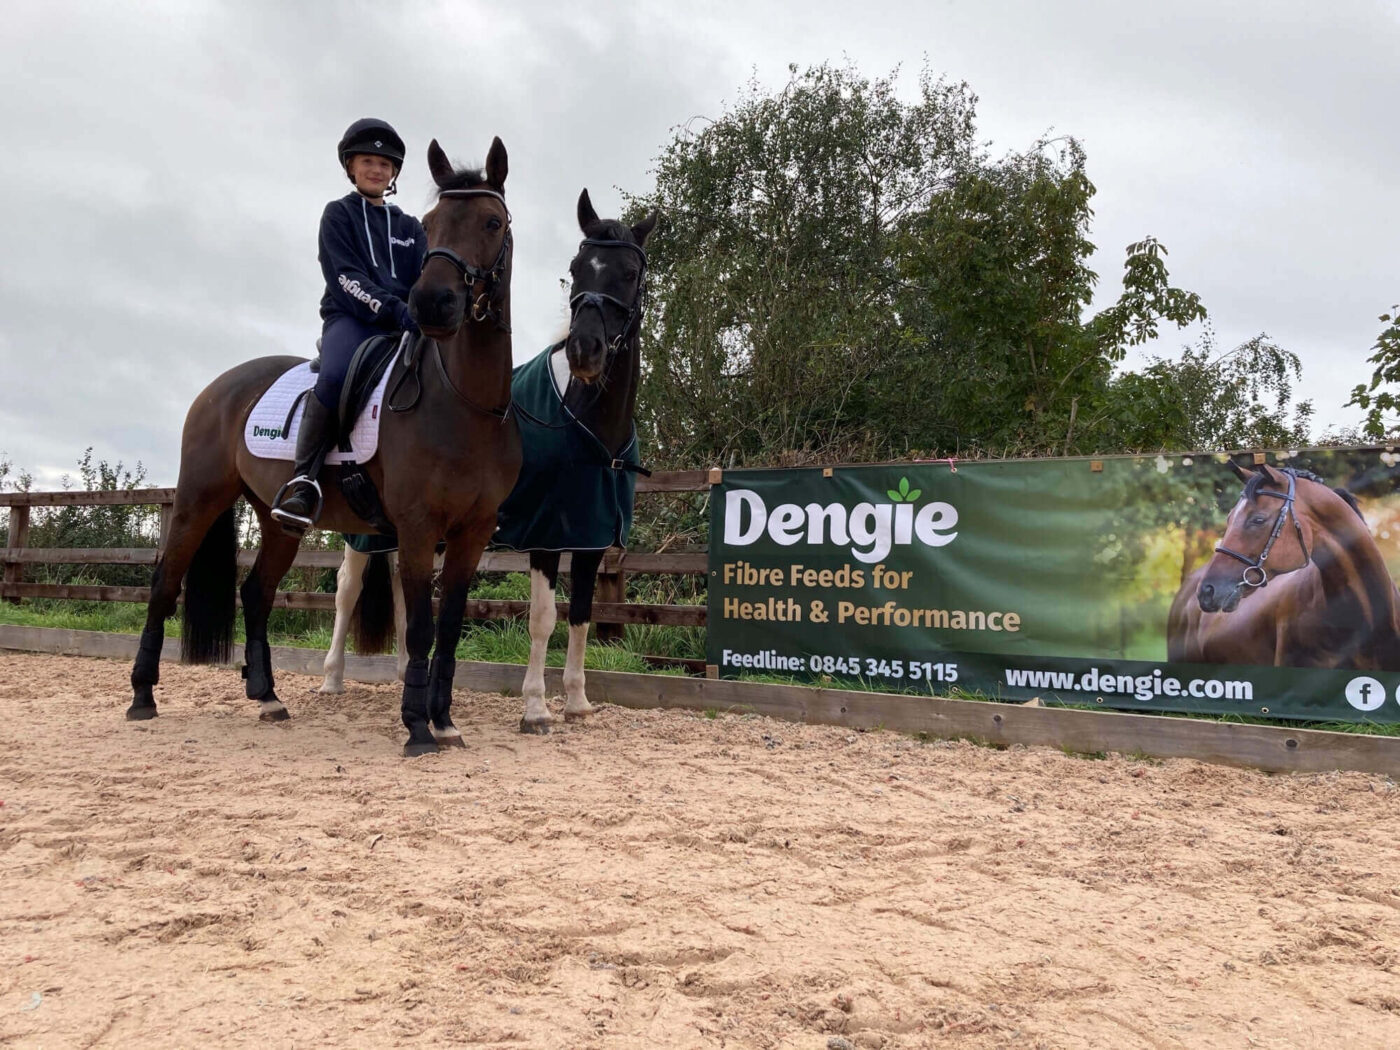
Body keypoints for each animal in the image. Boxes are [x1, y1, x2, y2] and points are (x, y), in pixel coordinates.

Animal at [124, 137, 520, 756]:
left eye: (492, 221)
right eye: (430, 225)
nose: (431, 304)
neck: (464, 403)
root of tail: (219, 386)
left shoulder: (473, 532)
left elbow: (450, 625)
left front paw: (445, 721)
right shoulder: (416, 527)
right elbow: (421, 626)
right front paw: (417, 728)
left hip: (277, 517)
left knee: (257, 592)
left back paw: (267, 698)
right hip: (198, 499)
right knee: (166, 583)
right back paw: (143, 696)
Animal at [322, 191, 660, 733]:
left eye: (629, 273)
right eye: (577, 268)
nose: (585, 350)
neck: (587, 424)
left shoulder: (589, 536)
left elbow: (581, 615)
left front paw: (577, 701)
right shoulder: (548, 534)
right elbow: (543, 619)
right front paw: (536, 708)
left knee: (399, 587)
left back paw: (404, 674)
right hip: (364, 530)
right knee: (347, 589)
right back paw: (332, 678)